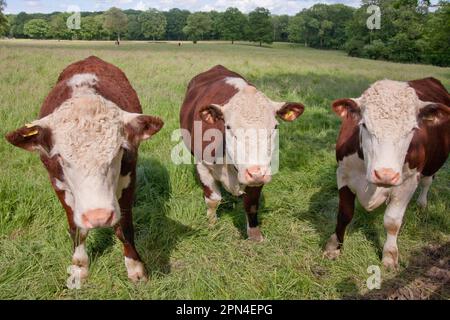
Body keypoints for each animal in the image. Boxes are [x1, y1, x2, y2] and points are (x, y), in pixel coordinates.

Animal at [4, 56, 163, 286]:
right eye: (61, 157)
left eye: (118, 150)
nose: (99, 216)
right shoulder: (58, 184)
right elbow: (77, 229)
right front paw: (79, 268)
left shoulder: (128, 179)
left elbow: (124, 227)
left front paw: (135, 268)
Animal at [180, 64, 306, 240]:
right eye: (228, 127)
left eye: (275, 126)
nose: (256, 172)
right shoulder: (202, 166)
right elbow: (213, 200)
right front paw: (212, 225)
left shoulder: (259, 174)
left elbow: (251, 205)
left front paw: (255, 237)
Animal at [326, 77, 450, 268]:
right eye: (364, 125)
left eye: (412, 129)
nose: (385, 174)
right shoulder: (343, 174)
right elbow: (344, 214)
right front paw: (334, 247)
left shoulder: (408, 183)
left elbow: (392, 221)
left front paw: (389, 256)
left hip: (433, 165)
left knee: (427, 182)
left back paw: (422, 204)